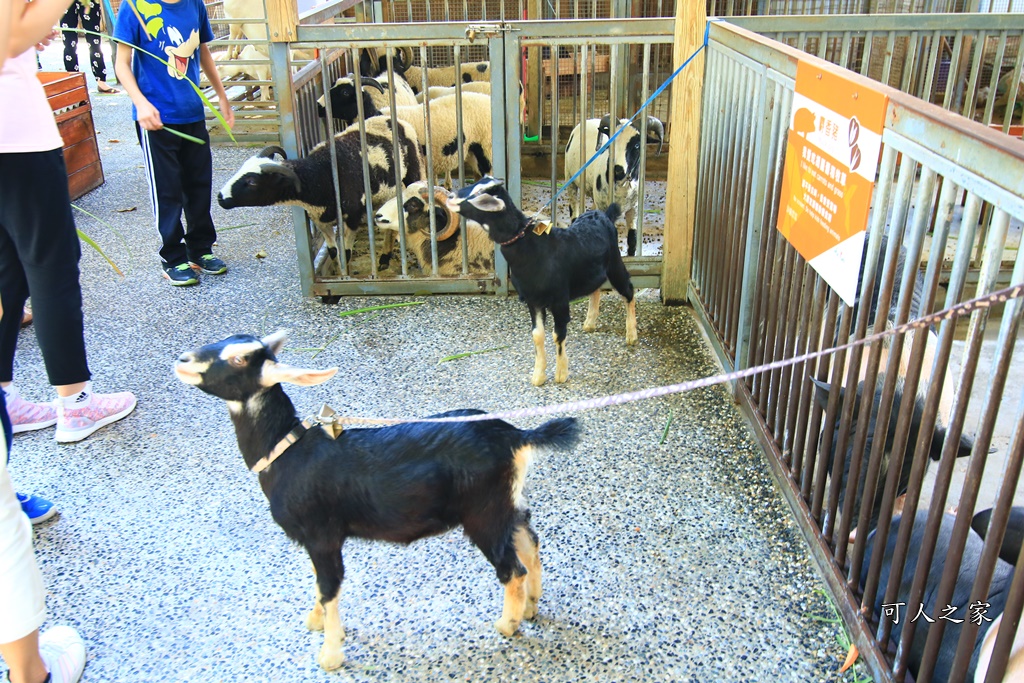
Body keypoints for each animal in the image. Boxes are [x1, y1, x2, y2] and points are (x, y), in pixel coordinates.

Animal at [216, 118, 423, 274]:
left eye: (251, 181)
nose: (219, 197)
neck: (320, 175)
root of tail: (392, 119)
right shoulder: (319, 219)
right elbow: (333, 251)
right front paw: (340, 273)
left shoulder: (352, 217)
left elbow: (346, 252)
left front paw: (346, 276)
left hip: (414, 170)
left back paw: (385, 258)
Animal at [446, 176, 630, 387]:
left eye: (479, 195)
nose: (450, 196)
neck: (530, 246)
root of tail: (604, 214)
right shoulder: (533, 300)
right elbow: (537, 335)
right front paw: (538, 376)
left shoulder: (559, 299)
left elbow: (558, 334)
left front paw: (561, 374)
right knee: (596, 289)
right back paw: (590, 322)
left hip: (615, 263)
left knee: (628, 290)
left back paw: (631, 335)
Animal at [561, 114, 663, 255]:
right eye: (611, 142)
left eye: (637, 145)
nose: (617, 170)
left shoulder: (634, 209)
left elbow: (632, 239)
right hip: (570, 178)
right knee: (573, 208)